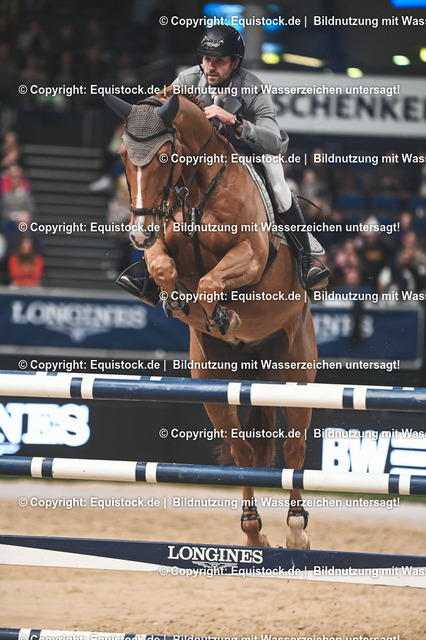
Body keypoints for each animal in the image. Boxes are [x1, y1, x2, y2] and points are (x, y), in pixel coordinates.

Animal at [105, 86, 318, 550]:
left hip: (296, 367)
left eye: (165, 155)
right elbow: (164, 268)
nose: (137, 234)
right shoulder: (162, 242)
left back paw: (296, 531)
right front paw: (176, 300)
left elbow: (211, 281)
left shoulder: (250, 254)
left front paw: (221, 312)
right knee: (241, 452)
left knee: (294, 451)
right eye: (124, 156)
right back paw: (253, 533)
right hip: (212, 382)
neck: (194, 190)